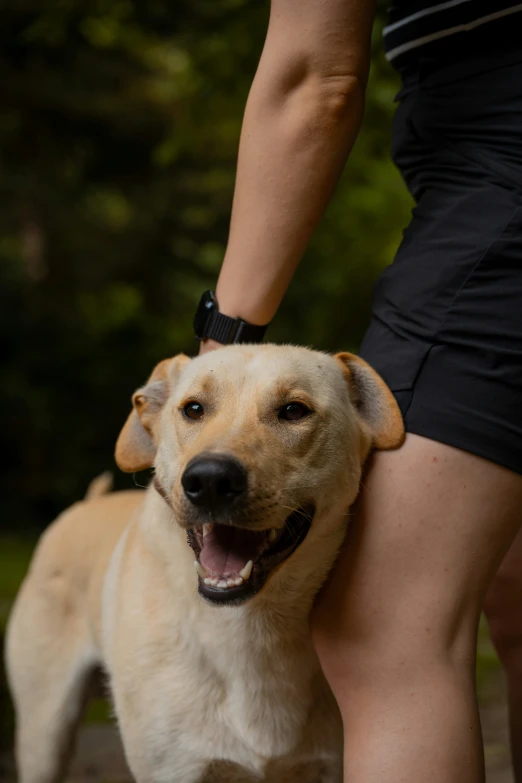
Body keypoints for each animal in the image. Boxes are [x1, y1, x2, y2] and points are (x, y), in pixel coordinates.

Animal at [5, 346, 402, 780]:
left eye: (294, 410)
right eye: (193, 409)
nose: (210, 480)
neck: (248, 627)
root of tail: (86, 504)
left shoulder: (328, 764)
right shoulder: (174, 768)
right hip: (44, 734)